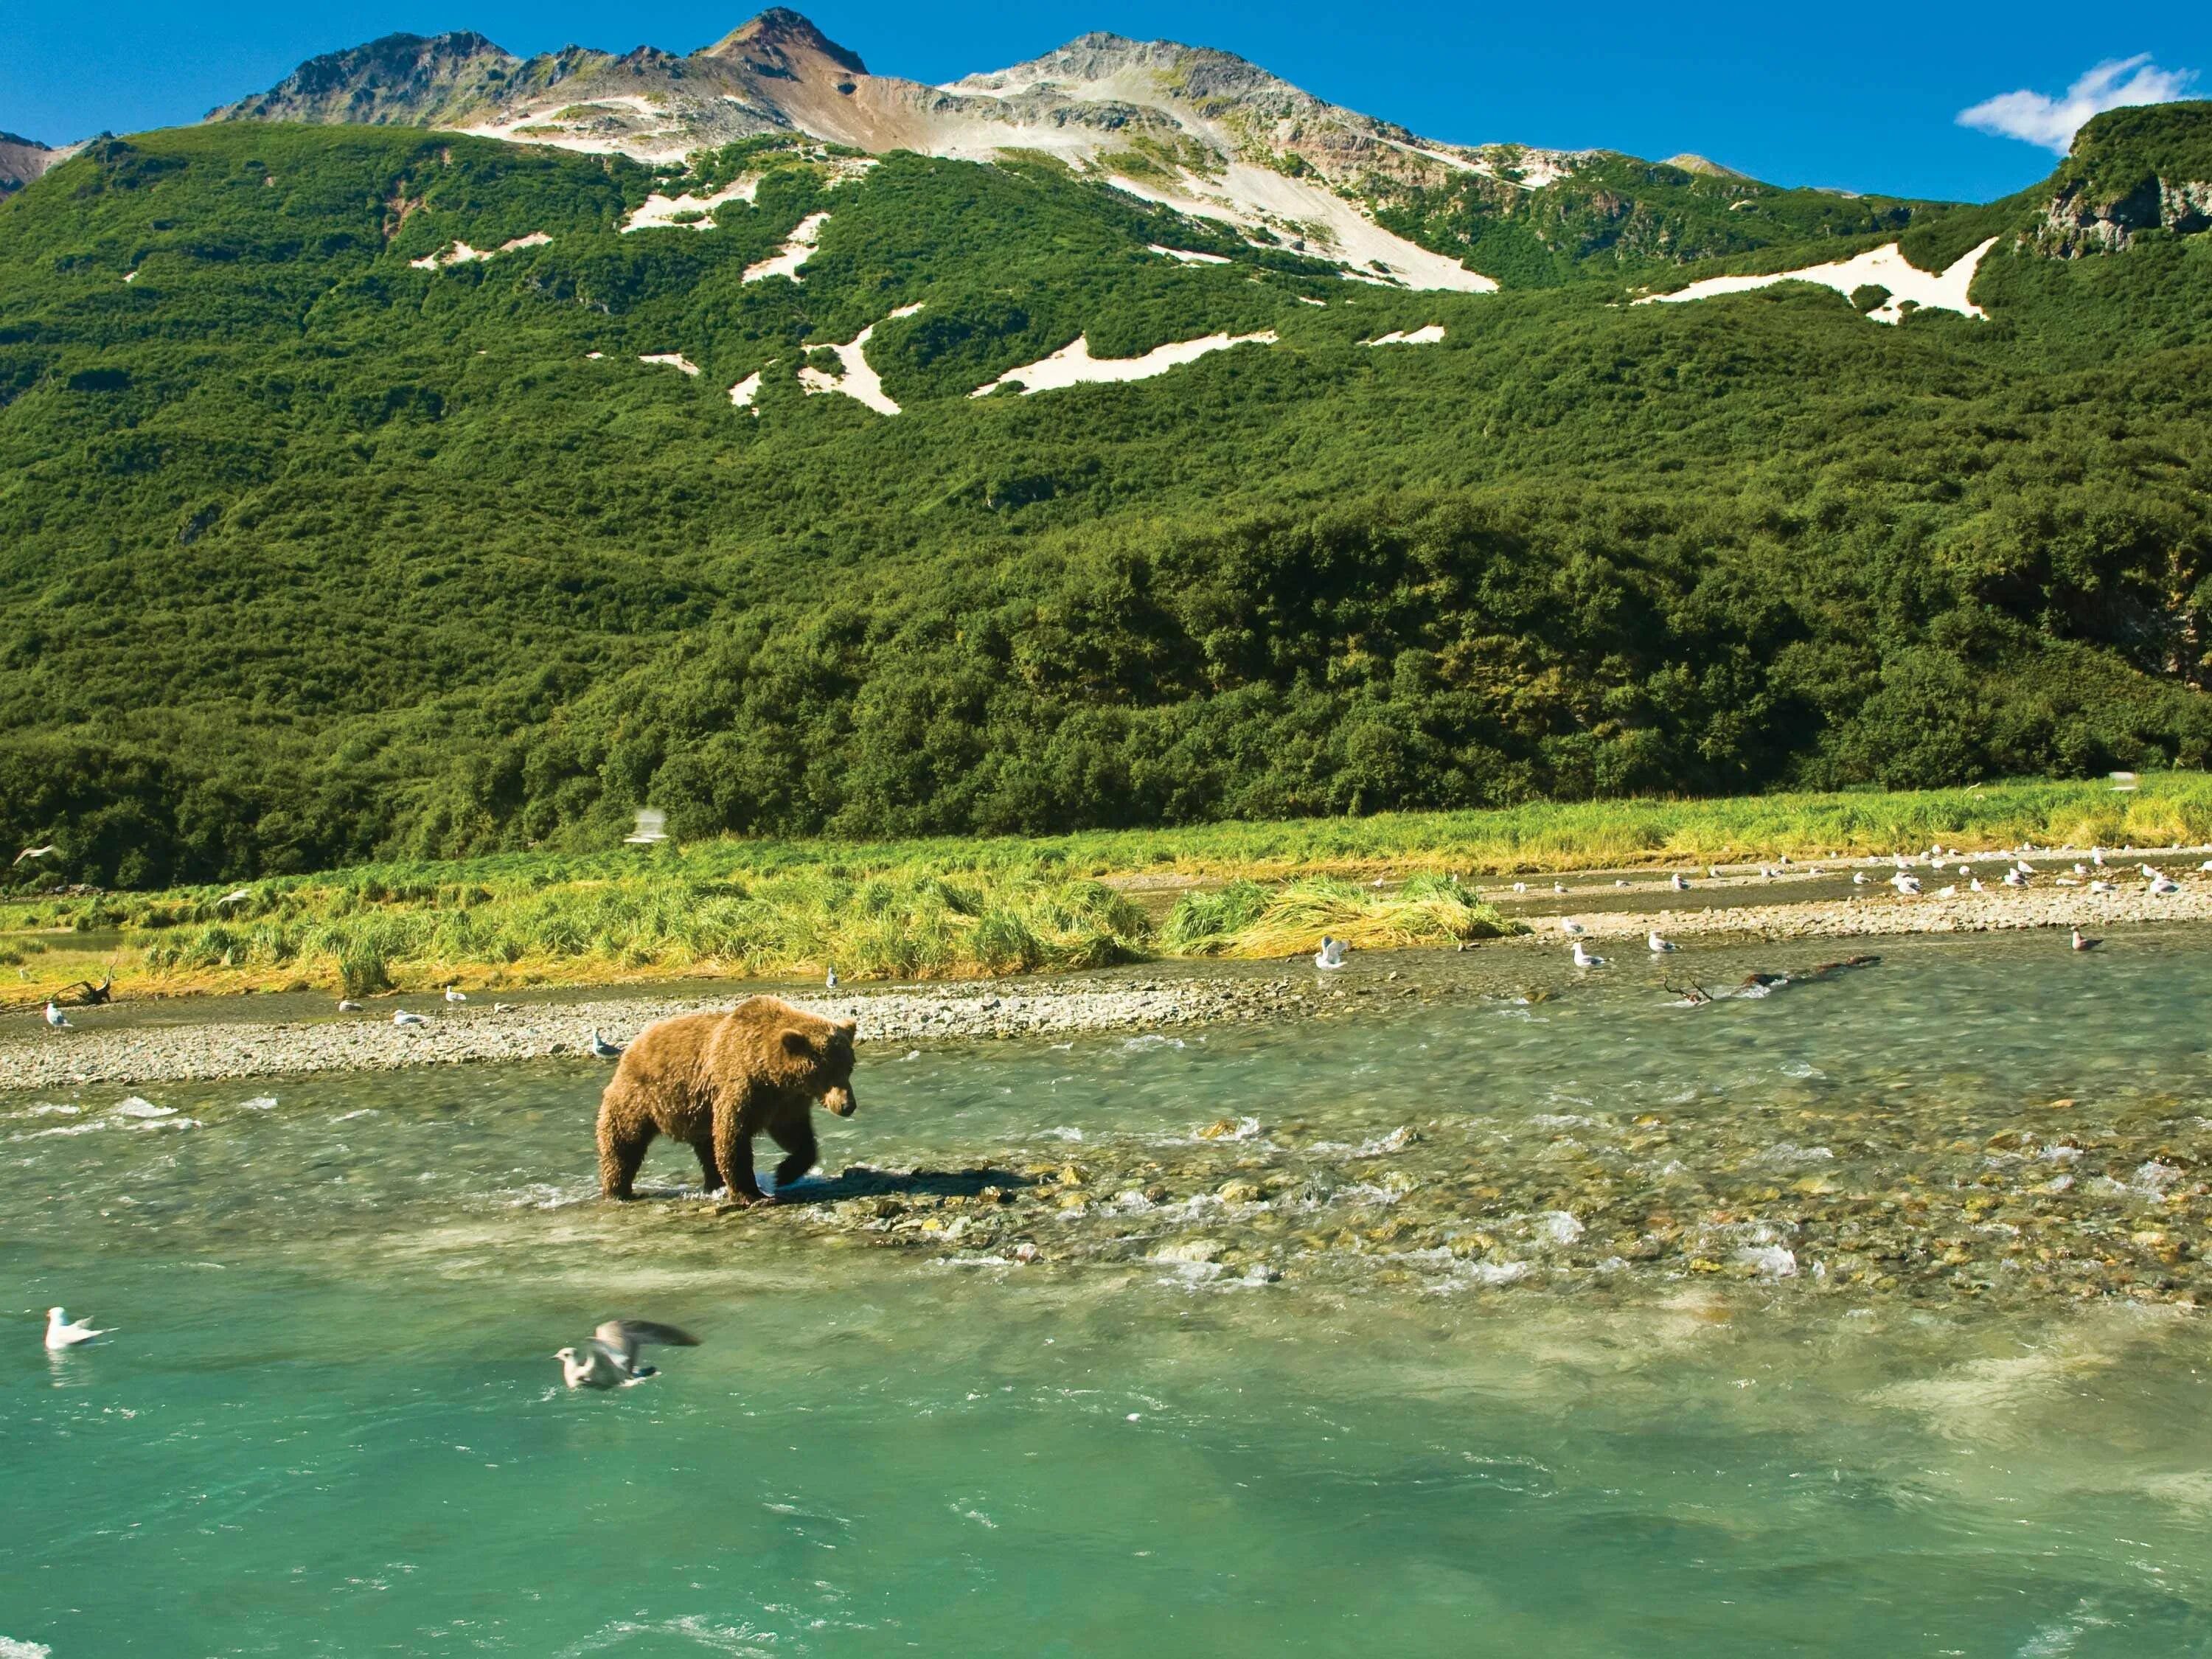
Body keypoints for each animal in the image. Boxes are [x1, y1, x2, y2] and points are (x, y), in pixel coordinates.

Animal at [597, 1000, 854, 1212]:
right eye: (828, 1072)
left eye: (848, 1068)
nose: (847, 1105)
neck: (772, 1073)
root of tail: (631, 1049)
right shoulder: (741, 1086)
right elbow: (733, 1137)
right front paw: (754, 1195)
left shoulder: (784, 1102)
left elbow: (796, 1136)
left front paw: (784, 1173)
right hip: (638, 1098)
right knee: (623, 1144)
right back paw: (617, 1191)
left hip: (697, 1114)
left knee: (707, 1150)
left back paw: (714, 1185)